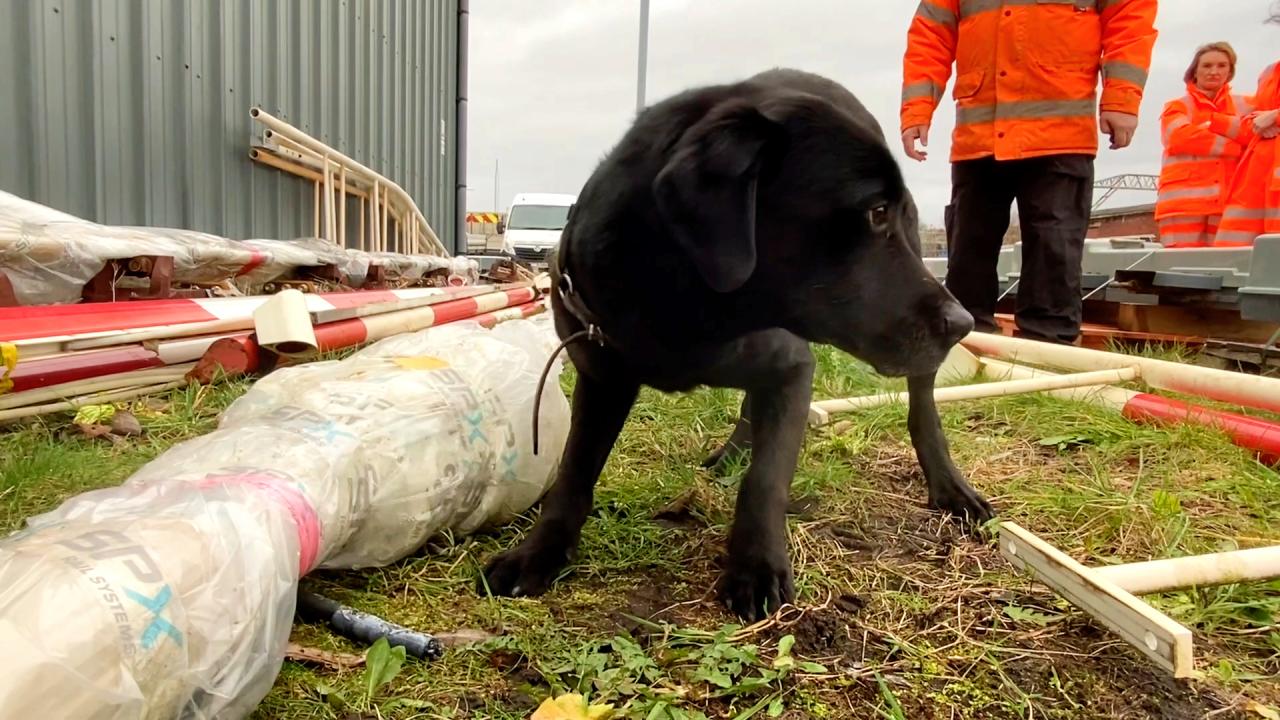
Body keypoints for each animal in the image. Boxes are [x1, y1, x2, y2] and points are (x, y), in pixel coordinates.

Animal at [478, 68, 988, 617]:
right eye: (875, 212)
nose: (963, 322)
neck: (679, 300)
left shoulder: (791, 366)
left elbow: (765, 478)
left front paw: (757, 566)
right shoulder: (601, 373)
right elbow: (574, 470)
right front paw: (538, 552)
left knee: (921, 406)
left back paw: (950, 486)